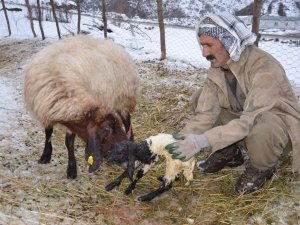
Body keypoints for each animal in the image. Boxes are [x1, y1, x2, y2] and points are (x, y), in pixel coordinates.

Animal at [23, 34, 139, 179]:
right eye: (107, 130)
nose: (126, 151)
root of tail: (112, 44)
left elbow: (68, 141)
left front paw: (71, 168)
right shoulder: (46, 111)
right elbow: (48, 132)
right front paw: (46, 155)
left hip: (122, 96)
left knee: (127, 120)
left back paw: (131, 138)